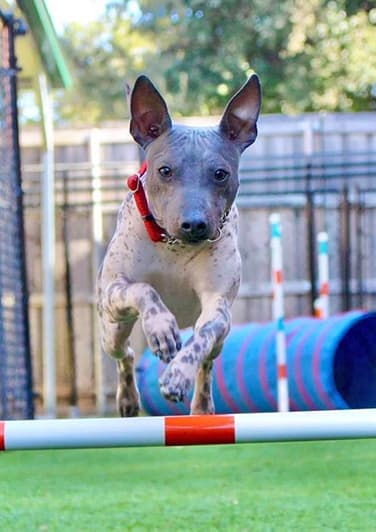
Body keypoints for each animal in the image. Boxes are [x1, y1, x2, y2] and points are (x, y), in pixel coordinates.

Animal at [97, 74, 262, 416]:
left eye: (220, 174)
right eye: (165, 171)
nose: (194, 224)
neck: (174, 247)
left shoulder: (218, 307)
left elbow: (201, 340)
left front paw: (178, 374)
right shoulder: (115, 289)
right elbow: (144, 289)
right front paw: (160, 328)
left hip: (220, 338)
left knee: (207, 361)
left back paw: (201, 405)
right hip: (112, 328)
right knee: (125, 354)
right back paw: (128, 398)